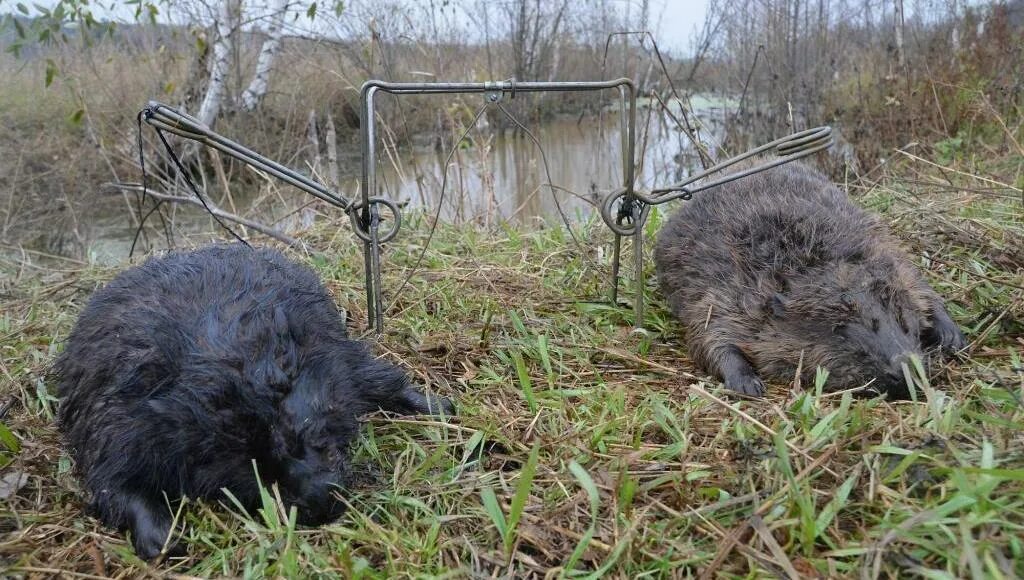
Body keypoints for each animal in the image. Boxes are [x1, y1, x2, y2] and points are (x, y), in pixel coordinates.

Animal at [55, 244, 452, 557]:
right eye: (251, 466)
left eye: (306, 430)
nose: (324, 499)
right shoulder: (118, 417)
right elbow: (110, 479)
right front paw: (162, 538)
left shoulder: (325, 345)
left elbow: (375, 377)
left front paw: (438, 406)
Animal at [655, 161, 966, 397]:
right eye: (841, 330)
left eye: (904, 323)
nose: (905, 371)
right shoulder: (728, 288)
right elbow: (707, 335)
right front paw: (747, 383)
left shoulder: (882, 251)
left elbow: (921, 287)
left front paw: (951, 337)